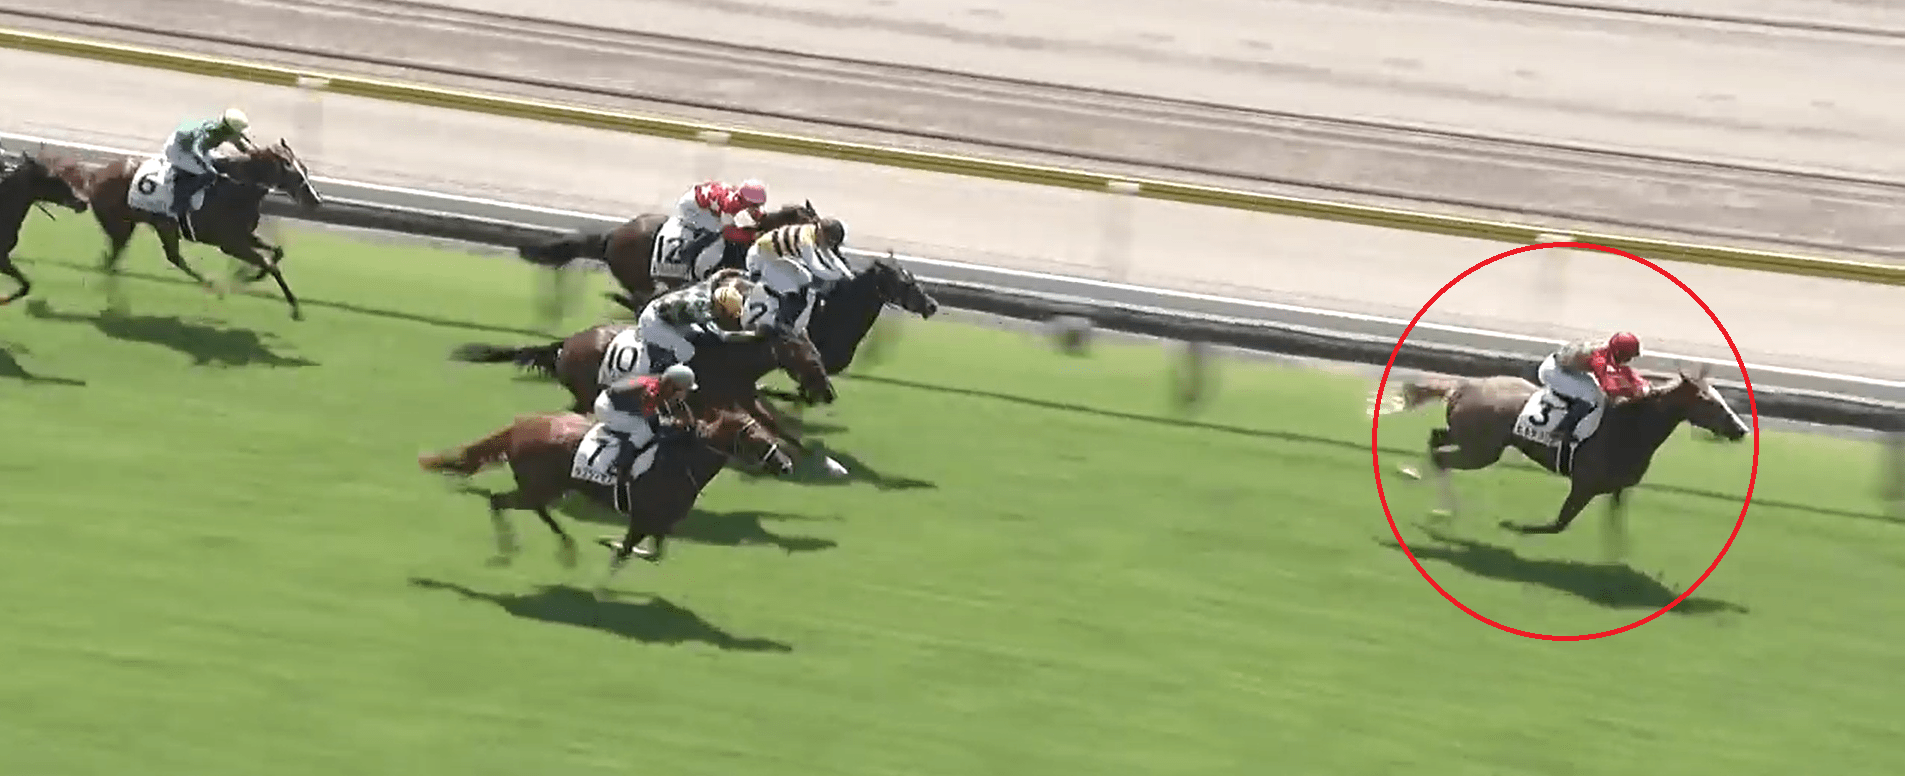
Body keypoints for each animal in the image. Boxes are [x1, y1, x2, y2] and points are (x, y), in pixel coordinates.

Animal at [76, 139, 324, 319]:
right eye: (294, 173)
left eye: (306, 169)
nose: (317, 200)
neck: (237, 188)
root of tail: (94, 175)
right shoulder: (230, 243)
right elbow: (270, 264)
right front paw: (293, 306)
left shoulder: (244, 235)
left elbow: (277, 253)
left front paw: (249, 275)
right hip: (123, 228)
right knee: (114, 261)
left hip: (157, 227)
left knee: (167, 257)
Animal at [416, 403, 795, 579]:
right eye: (756, 437)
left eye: (768, 432)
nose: (786, 464)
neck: (681, 458)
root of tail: (519, 426)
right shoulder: (642, 518)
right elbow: (626, 552)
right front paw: (607, 567)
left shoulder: (660, 523)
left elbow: (653, 553)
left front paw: (610, 547)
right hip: (540, 486)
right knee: (499, 502)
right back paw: (518, 549)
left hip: (548, 488)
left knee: (533, 509)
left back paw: (566, 548)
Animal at [1370, 364, 1750, 538]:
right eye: (1709, 402)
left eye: (1720, 398)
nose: (1741, 429)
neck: (1630, 426)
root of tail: (1465, 386)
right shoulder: (1584, 486)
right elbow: (1558, 524)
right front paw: (1515, 526)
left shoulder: (1616, 490)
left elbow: (1614, 530)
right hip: (1481, 451)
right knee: (1442, 455)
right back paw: (1442, 510)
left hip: (1469, 440)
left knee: (1435, 440)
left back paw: (1415, 477)